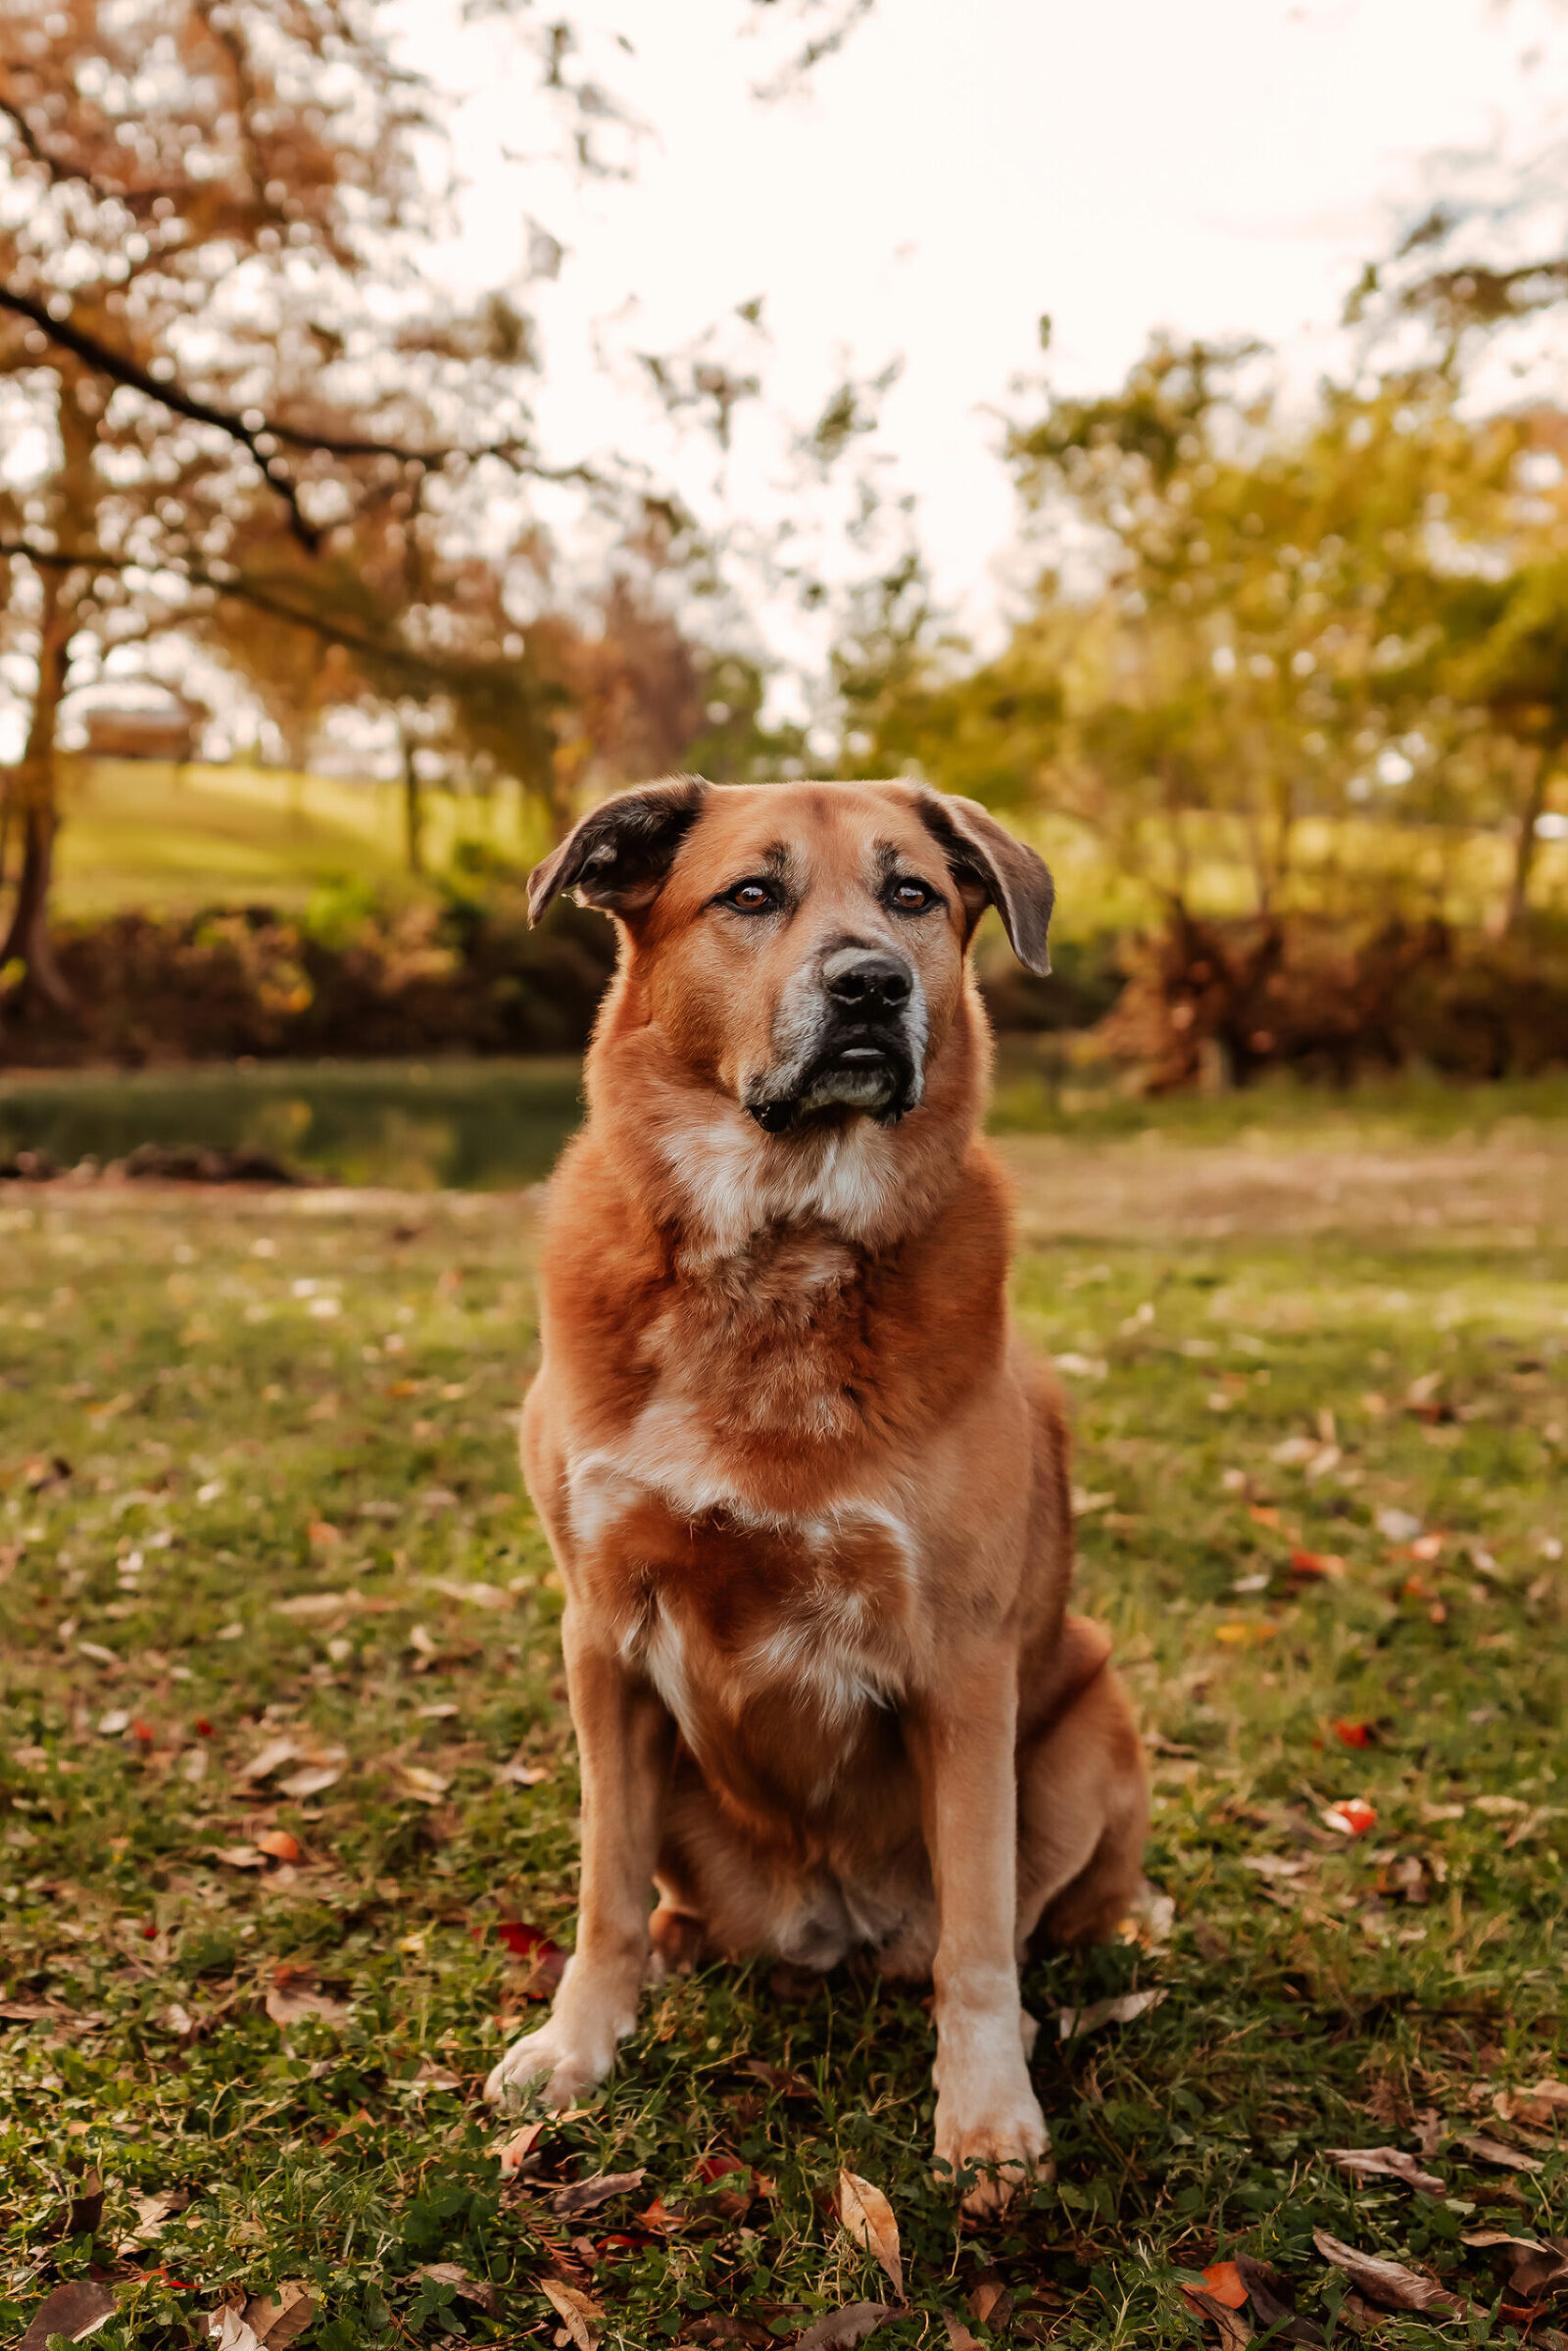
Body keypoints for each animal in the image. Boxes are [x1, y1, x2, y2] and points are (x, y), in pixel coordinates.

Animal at [484, 780, 1147, 2210]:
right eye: (751, 893)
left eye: (911, 895)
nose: (870, 985)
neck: (781, 1252)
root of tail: (827, 1921)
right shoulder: (600, 1635)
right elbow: (600, 1886)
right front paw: (577, 2045)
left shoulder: (961, 1663)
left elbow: (977, 1937)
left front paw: (987, 2112)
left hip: (1087, 1715)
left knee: (1026, 1915)